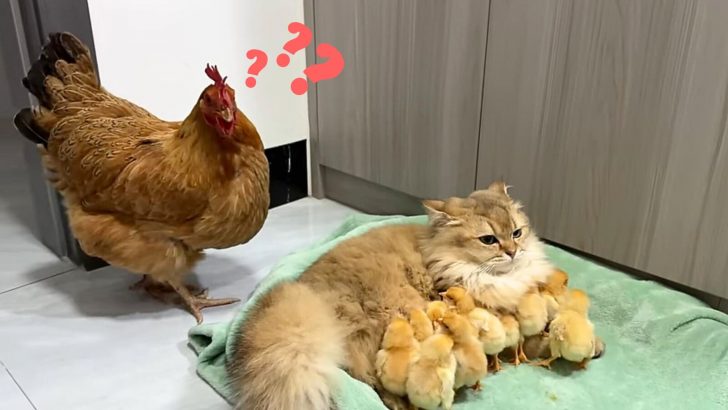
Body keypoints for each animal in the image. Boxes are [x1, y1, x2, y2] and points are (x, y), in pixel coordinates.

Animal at [230, 183, 556, 410]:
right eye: (488, 240)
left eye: (516, 233)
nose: (513, 252)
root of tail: (304, 291)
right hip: (398, 311)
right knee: (372, 379)